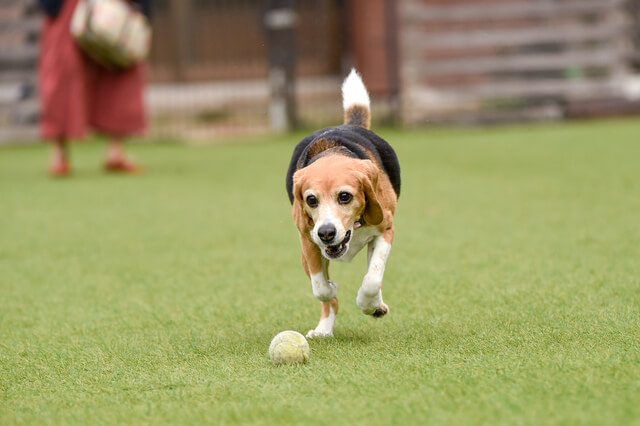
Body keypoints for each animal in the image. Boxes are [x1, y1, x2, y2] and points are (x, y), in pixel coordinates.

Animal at [284, 70, 400, 338]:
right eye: (311, 200)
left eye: (345, 196)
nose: (326, 232)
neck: (332, 152)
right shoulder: (308, 241)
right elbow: (321, 288)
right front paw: (332, 287)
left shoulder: (386, 230)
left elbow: (372, 280)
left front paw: (369, 304)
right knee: (326, 297)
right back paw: (324, 329)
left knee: (372, 273)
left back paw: (375, 305)